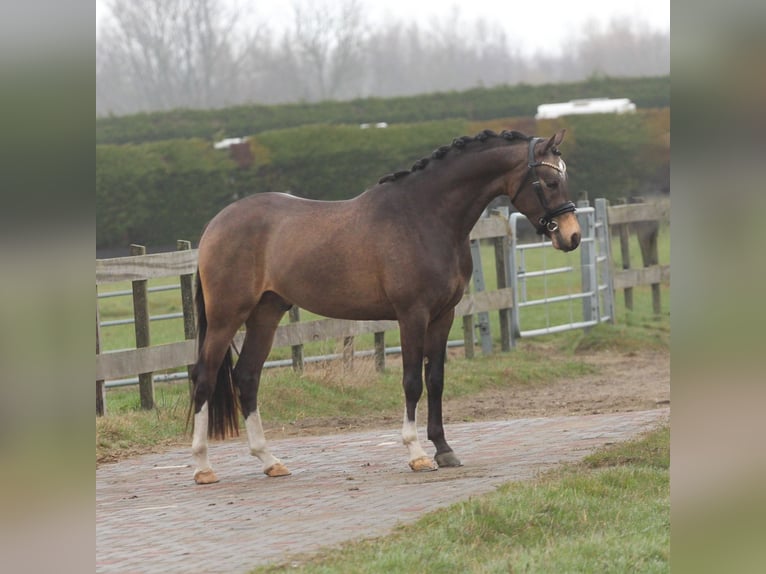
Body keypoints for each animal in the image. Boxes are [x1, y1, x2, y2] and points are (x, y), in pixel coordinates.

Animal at [189, 128, 581, 484]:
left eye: (563, 177)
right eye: (549, 181)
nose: (571, 236)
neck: (424, 217)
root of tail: (215, 225)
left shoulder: (444, 316)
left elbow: (435, 380)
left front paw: (444, 449)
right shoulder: (412, 316)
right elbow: (412, 381)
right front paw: (417, 454)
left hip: (266, 313)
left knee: (247, 377)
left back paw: (269, 461)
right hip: (226, 316)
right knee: (204, 377)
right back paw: (203, 466)